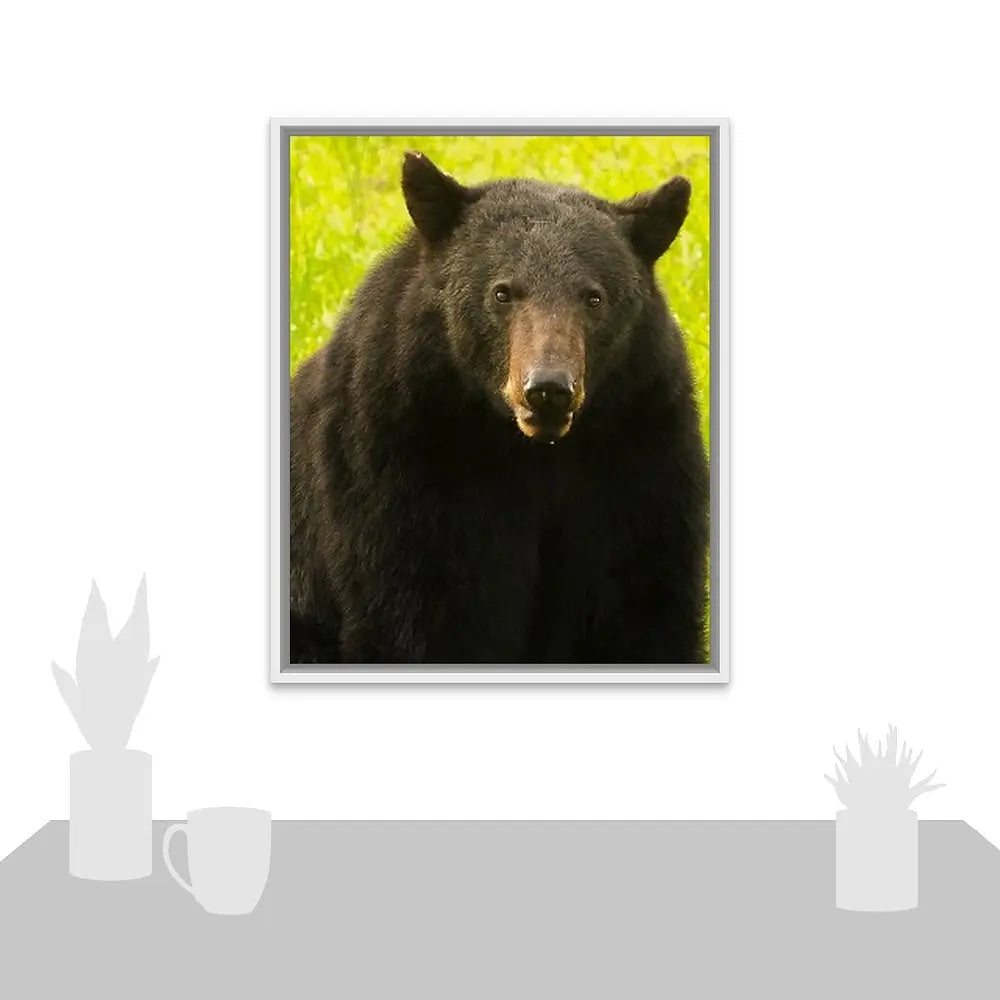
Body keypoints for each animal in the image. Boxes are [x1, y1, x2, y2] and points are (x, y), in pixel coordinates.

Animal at [289, 151, 709, 665]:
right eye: (502, 292)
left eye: (594, 297)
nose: (547, 389)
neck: (530, 451)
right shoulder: (399, 458)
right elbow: (427, 608)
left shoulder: (641, 448)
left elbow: (642, 601)